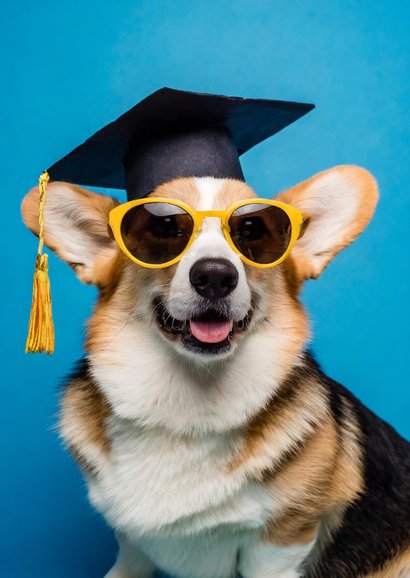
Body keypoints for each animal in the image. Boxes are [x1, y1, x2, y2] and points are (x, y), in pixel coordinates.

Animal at [22, 165, 410, 576]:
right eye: (163, 227)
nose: (214, 276)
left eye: (253, 229)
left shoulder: (282, 541)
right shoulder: (130, 538)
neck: (186, 400)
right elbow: (129, 561)